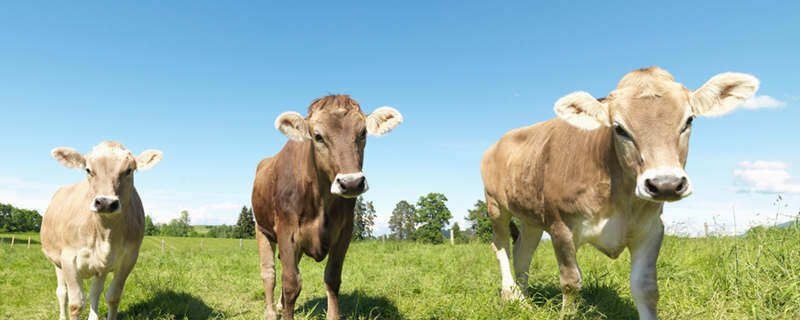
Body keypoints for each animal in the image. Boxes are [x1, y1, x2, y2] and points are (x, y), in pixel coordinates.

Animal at [41, 141, 163, 320]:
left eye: (129, 170)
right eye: (88, 170)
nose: (105, 202)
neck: (105, 234)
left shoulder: (129, 258)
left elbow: (112, 297)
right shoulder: (68, 258)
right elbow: (76, 303)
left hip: (101, 268)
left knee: (95, 291)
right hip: (56, 262)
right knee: (62, 293)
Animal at [250, 95, 400, 320]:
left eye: (363, 133)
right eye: (318, 136)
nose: (351, 182)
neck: (320, 202)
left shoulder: (344, 232)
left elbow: (332, 278)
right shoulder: (286, 231)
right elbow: (290, 282)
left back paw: (279, 305)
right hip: (262, 229)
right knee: (269, 273)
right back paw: (270, 312)